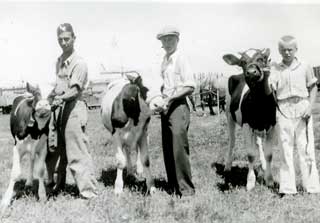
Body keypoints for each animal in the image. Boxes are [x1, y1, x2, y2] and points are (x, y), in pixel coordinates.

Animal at [0, 83, 51, 212]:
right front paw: (5, 200)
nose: (43, 105)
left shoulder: (43, 148)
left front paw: (42, 195)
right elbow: (15, 173)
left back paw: (29, 181)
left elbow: (40, 171)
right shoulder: (17, 148)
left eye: (53, 94)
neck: (35, 131)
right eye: (36, 94)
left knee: (31, 160)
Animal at [222, 48, 278, 190]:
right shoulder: (247, 125)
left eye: (261, 59)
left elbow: (269, 154)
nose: (252, 72)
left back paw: (263, 164)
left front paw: (269, 179)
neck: (259, 104)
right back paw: (227, 165)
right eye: (242, 62)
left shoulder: (272, 125)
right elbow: (251, 155)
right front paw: (251, 182)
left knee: (258, 142)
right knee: (232, 141)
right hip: (228, 114)